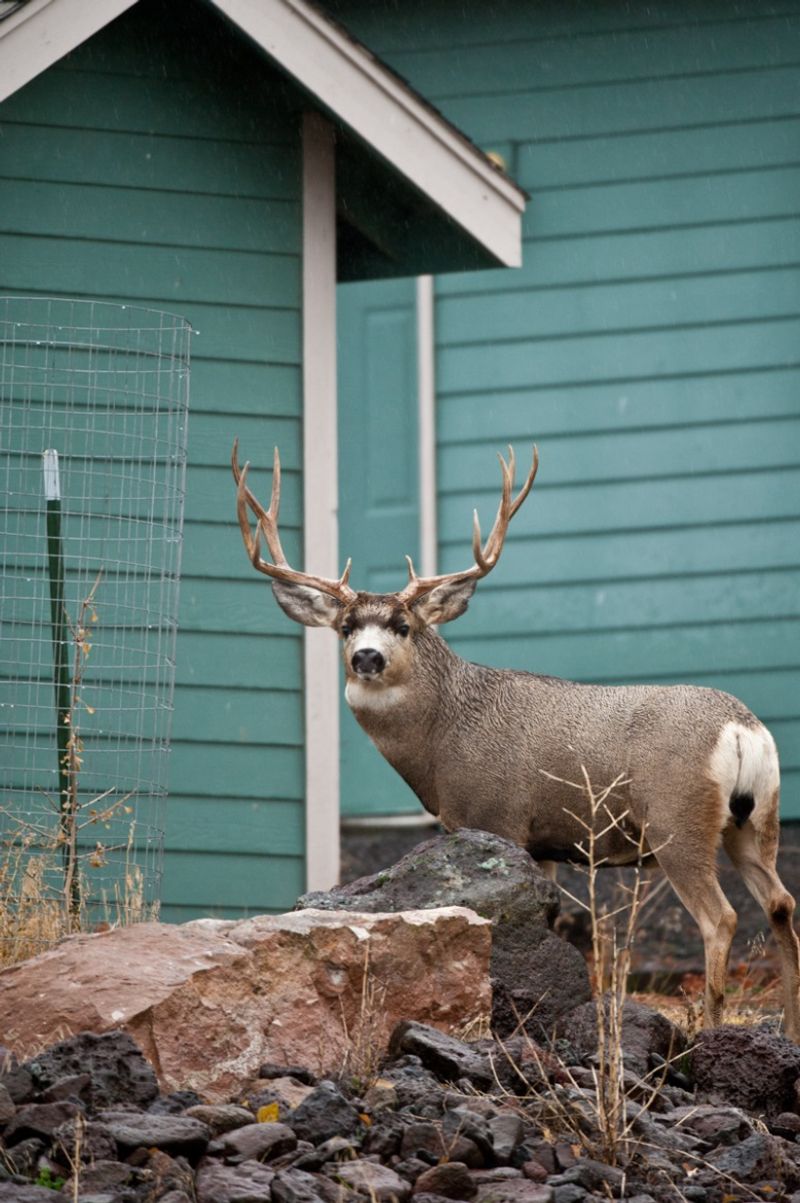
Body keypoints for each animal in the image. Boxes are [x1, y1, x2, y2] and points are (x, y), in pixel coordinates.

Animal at [231, 438, 800, 1039]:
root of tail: (741, 728)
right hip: (755, 820)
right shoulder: (541, 841)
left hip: (676, 819)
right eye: (345, 628)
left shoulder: (495, 817)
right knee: (781, 903)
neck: (442, 736)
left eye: (403, 626)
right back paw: (788, 1029)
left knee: (723, 917)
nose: (366, 657)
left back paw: (709, 1031)